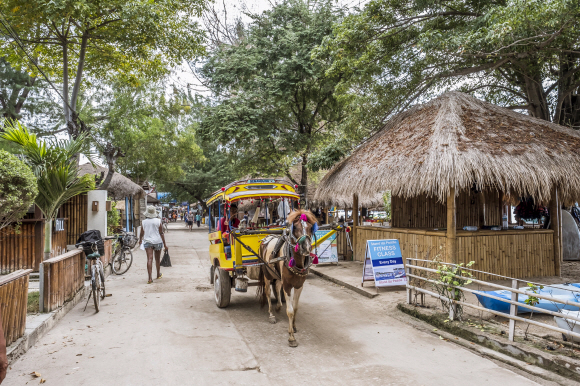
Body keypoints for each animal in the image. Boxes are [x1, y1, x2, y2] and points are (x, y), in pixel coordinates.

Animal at [245, 210, 318, 348]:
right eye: (296, 228)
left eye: (311, 228)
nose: (306, 248)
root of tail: (266, 237)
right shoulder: (288, 285)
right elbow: (289, 310)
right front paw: (291, 337)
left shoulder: (299, 285)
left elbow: (295, 307)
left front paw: (293, 327)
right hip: (267, 274)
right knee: (268, 292)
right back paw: (271, 315)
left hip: (277, 275)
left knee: (278, 287)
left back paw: (278, 306)